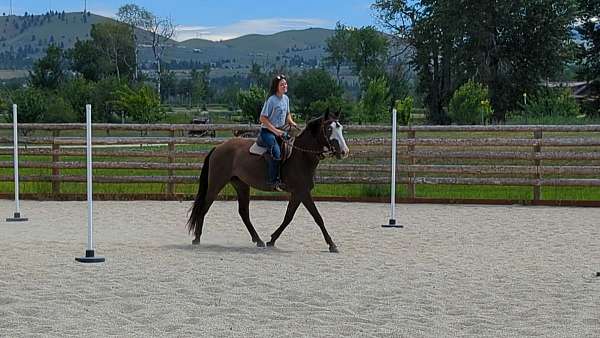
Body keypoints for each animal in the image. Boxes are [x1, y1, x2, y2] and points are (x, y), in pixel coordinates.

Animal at [185, 109, 350, 252]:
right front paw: (332, 245)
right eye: (328, 129)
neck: (301, 155)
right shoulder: (302, 192)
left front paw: (272, 240)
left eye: (340, 128)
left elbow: (288, 217)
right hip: (216, 183)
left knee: (243, 212)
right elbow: (317, 217)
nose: (344, 151)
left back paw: (258, 240)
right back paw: (197, 239)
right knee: (204, 207)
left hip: (241, 185)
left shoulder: (298, 193)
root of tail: (218, 148)